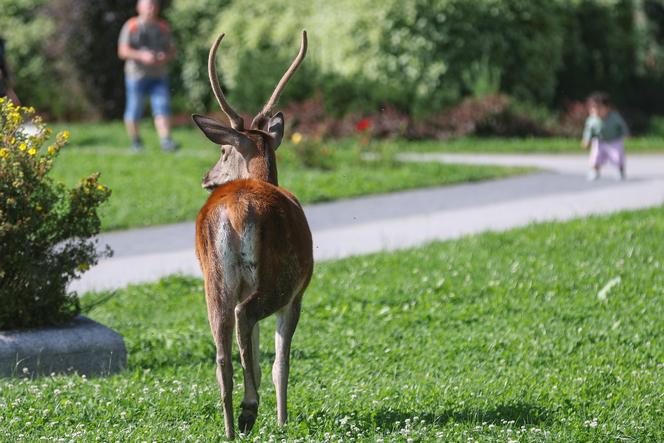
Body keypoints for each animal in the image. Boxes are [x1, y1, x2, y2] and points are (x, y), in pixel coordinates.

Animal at [192, 31, 314, 440]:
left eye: (223, 151)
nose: (206, 178)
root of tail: (236, 211)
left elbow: (258, 358)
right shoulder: (300, 291)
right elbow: (279, 362)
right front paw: (282, 418)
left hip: (215, 279)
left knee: (222, 353)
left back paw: (232, 425)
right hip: (281, 278)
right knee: (245, 317)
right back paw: (249, 410)